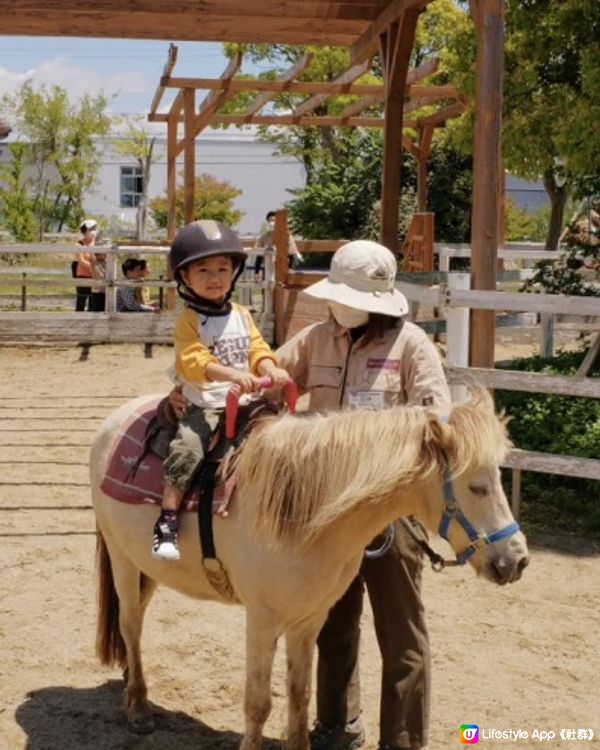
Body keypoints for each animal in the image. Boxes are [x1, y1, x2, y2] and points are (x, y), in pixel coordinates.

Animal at [91, 388, 528, 750]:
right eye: (476, 486)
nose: (517, 560)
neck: (301, 512)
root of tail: (115, 420)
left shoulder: (309, 618)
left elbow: (299, 693)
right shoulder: (262, 620)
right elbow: (258, 702)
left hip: (145, 568)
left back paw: (130, 687)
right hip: (122, 560)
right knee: (131, 626)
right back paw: (139, 710)